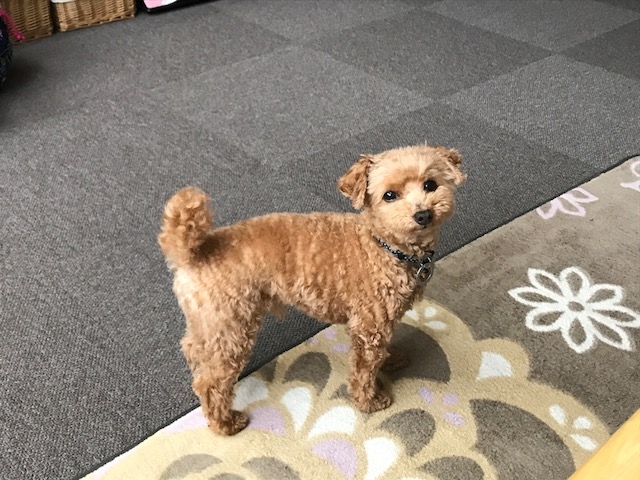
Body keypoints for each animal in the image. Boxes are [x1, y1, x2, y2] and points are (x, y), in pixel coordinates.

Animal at [158, 144, 466, 435]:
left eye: (430, 184)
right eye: (389, 195)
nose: (423, 214)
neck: (382, 245)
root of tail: (194, 252)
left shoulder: (378, 322)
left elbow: (381, 352)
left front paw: (392, 359)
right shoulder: (370, 327)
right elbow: (364, 369)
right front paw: (370, 401)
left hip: (210, 321)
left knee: (193, 348)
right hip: (232, 326)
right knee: (211, 382)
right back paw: (225, 423)